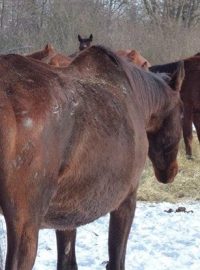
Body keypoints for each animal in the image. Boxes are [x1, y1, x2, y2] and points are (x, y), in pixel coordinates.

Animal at [0, 45, 184, 268]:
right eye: (182, 113)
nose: (171, 171)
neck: (137, 98)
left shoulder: (66, 216)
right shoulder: (126, 200)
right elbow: (116, 260)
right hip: (25, 224)